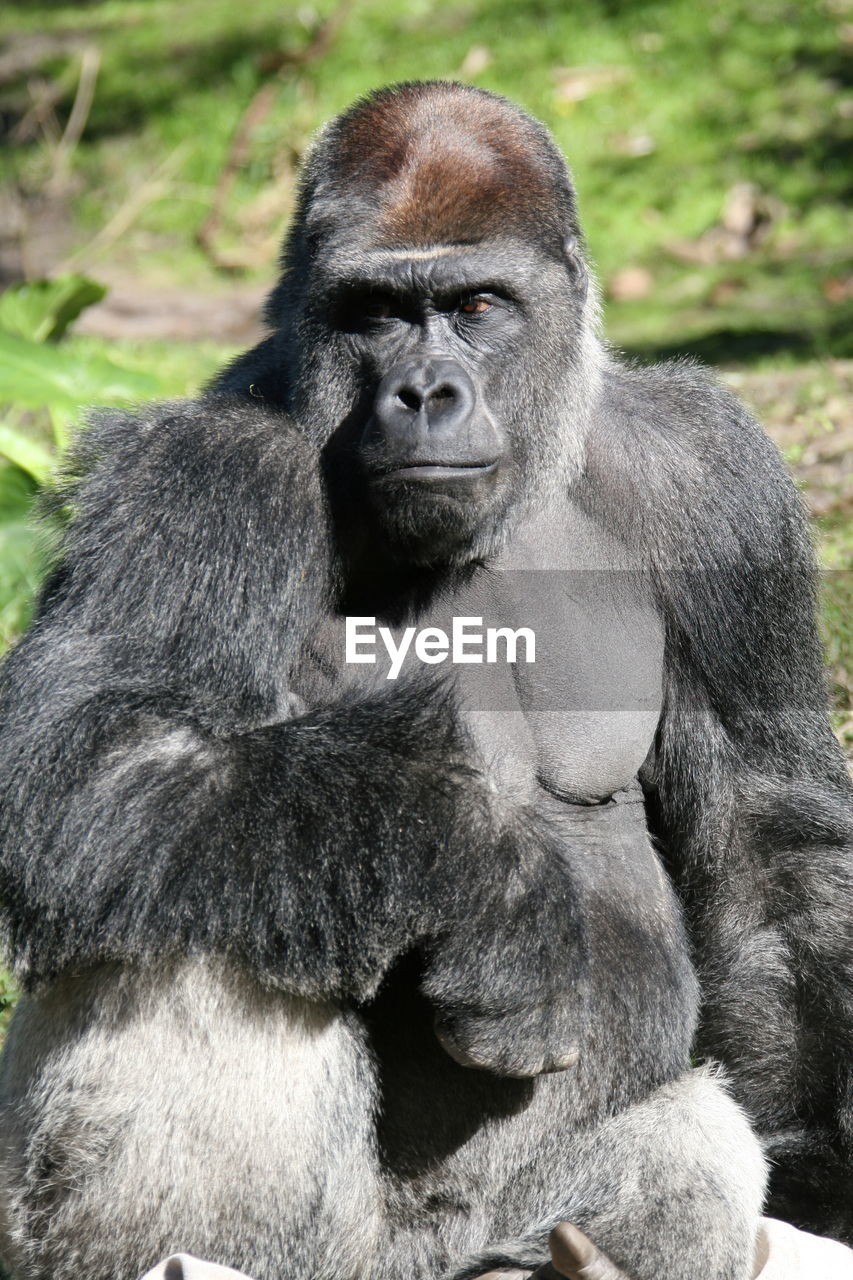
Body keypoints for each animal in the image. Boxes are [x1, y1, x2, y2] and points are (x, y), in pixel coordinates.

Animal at [1, 77, 850, 1280]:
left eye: (477, 304)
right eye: (374, 313)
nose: (424, 391)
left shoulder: (714, 478)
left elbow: (767, 840)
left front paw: (820, 1171)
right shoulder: (198, 471)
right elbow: (83, 759)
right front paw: (488, 878)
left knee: (689, 1149)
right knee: (183, 897)